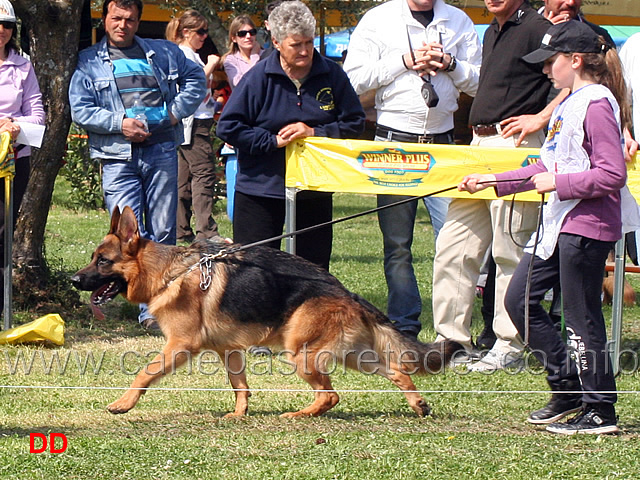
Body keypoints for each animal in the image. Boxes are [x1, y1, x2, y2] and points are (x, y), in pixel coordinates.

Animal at [72, 208, 460, 418]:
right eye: (93, 258)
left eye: (103, 261)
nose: (74, 280)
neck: (169, 272)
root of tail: (345, 291)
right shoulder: (228, 350)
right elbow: (240, 385)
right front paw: (239, 415)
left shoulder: (180, 345)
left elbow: (144, 372)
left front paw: (123, 404)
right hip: (350, 355)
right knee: (395, 371)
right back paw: (418, 405)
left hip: (302, 354)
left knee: (330, 395)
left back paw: (299, 415)